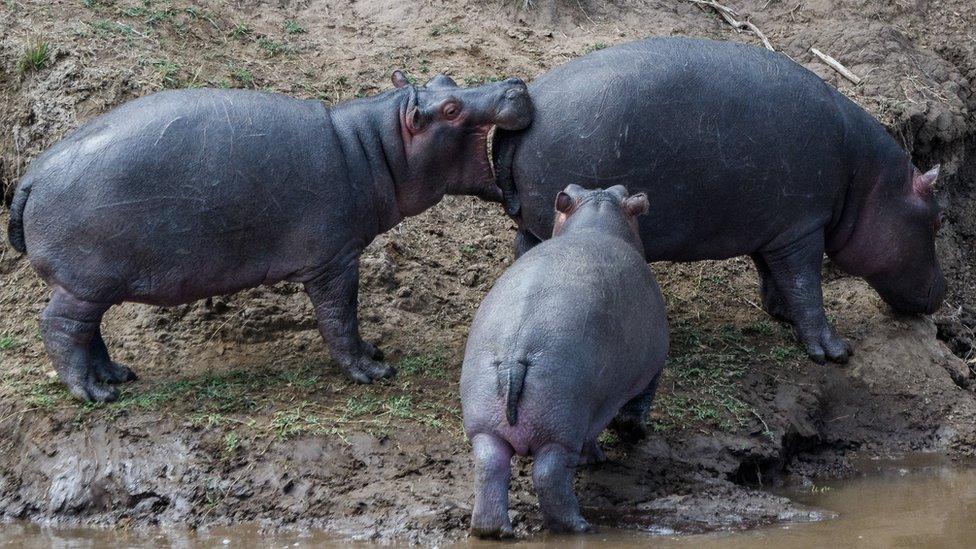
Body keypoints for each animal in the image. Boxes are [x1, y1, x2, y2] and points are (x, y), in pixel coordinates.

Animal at [5, 70, 532, 400]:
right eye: (450, 107)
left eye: (446, 80)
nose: (514, 83)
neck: (375, 146)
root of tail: (31, 176)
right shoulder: (335, 259)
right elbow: (341, 315)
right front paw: (372, 370)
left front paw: (373, 353)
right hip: (85, 281)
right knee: (58, 326)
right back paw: (95, 393)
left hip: (91, 285)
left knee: (86, 330)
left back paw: (116, 376)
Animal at [462, 184, 668, 536]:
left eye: (619, 190)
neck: (597, 218)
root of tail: (515, 355)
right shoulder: (647, 371)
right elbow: (633, 408)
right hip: (561, 427)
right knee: (550, 476)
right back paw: (578, 526)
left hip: (486, 427)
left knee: (489, 468)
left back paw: (493, 531)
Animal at [496, 36, 944, 366]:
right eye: (938, 218)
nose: (942, 293)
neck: (867, 180)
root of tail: (528, 109)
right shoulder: (803, 227)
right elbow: (806, 286)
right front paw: (834, 352)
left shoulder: (774, 227)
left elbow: (773, 275)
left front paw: (781, 313)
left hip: (537, 222)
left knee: (523, 246)